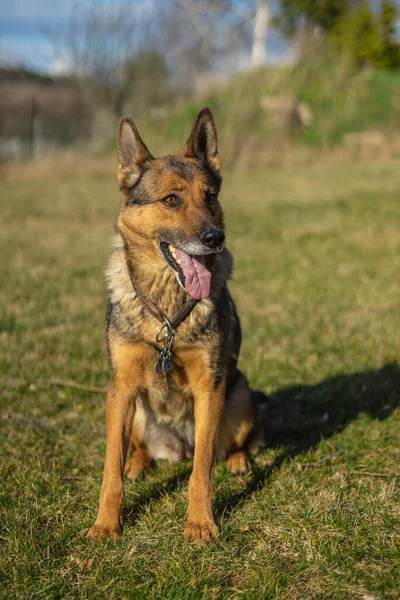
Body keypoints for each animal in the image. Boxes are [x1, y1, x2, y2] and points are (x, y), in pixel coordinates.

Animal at [86, 106, 264, 544]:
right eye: (170, 200)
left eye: (210, 197)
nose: (214, 238)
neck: (168, 314)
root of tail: (176, 444)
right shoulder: (121, 386)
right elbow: (109, 472)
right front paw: (106, 525)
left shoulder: (209, 387)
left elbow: (202, 470)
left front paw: (200, 522)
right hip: (131, 409)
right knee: (135, 449)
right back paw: (137, 463)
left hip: (239, 395)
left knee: (228, 445)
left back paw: (237, 461)